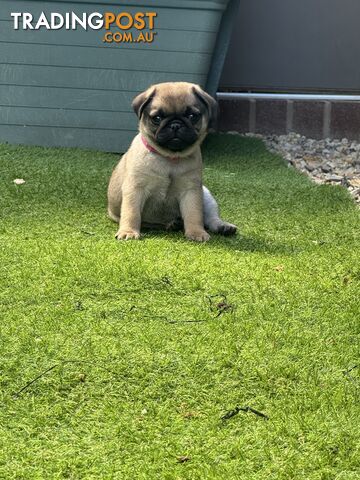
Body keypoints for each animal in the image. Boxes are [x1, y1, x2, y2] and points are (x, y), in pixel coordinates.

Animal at [107, 81, 236, 244]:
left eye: (192, 116)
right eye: (157, 118)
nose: (175, 125)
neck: (170, 158)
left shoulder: (191, 191)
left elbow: (194, 214)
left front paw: (196, 232)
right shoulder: (135, 189)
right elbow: (132, 213)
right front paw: (128, 231)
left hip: (206, 195)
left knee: (210, 218)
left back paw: (222, 226)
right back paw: (174, 223)